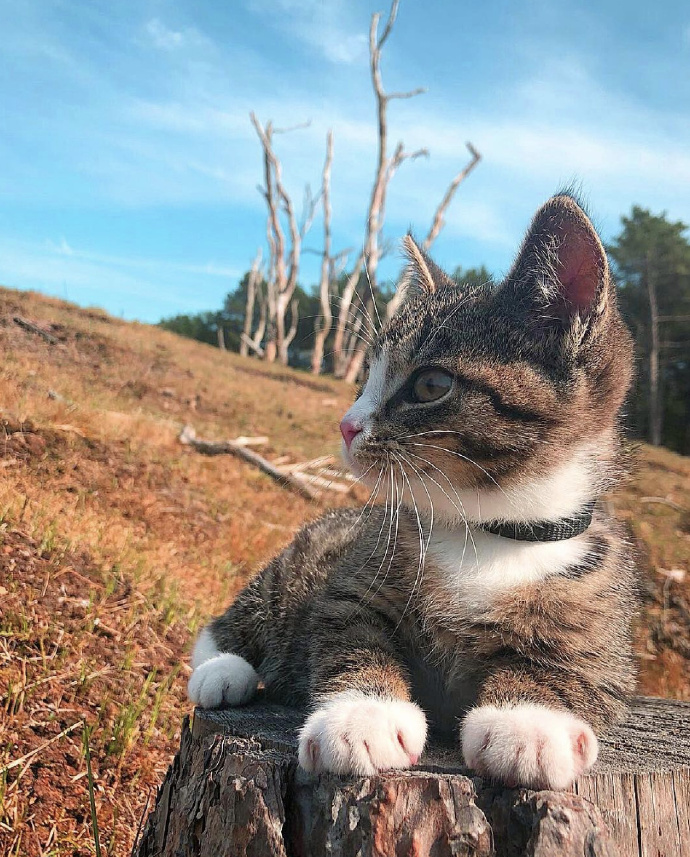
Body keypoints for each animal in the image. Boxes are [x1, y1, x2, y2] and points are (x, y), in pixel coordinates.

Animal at [187, 194, 636, 788]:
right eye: (365, 379)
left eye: (430, 385)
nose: (346, 425)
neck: (481, 530)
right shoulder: (356, 576)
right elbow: (348, 629)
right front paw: (360, 716)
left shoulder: (605, 613)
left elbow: (575, 662)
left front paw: (529, 724)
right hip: (298, 562)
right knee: (241, 617)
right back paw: (221, 670)